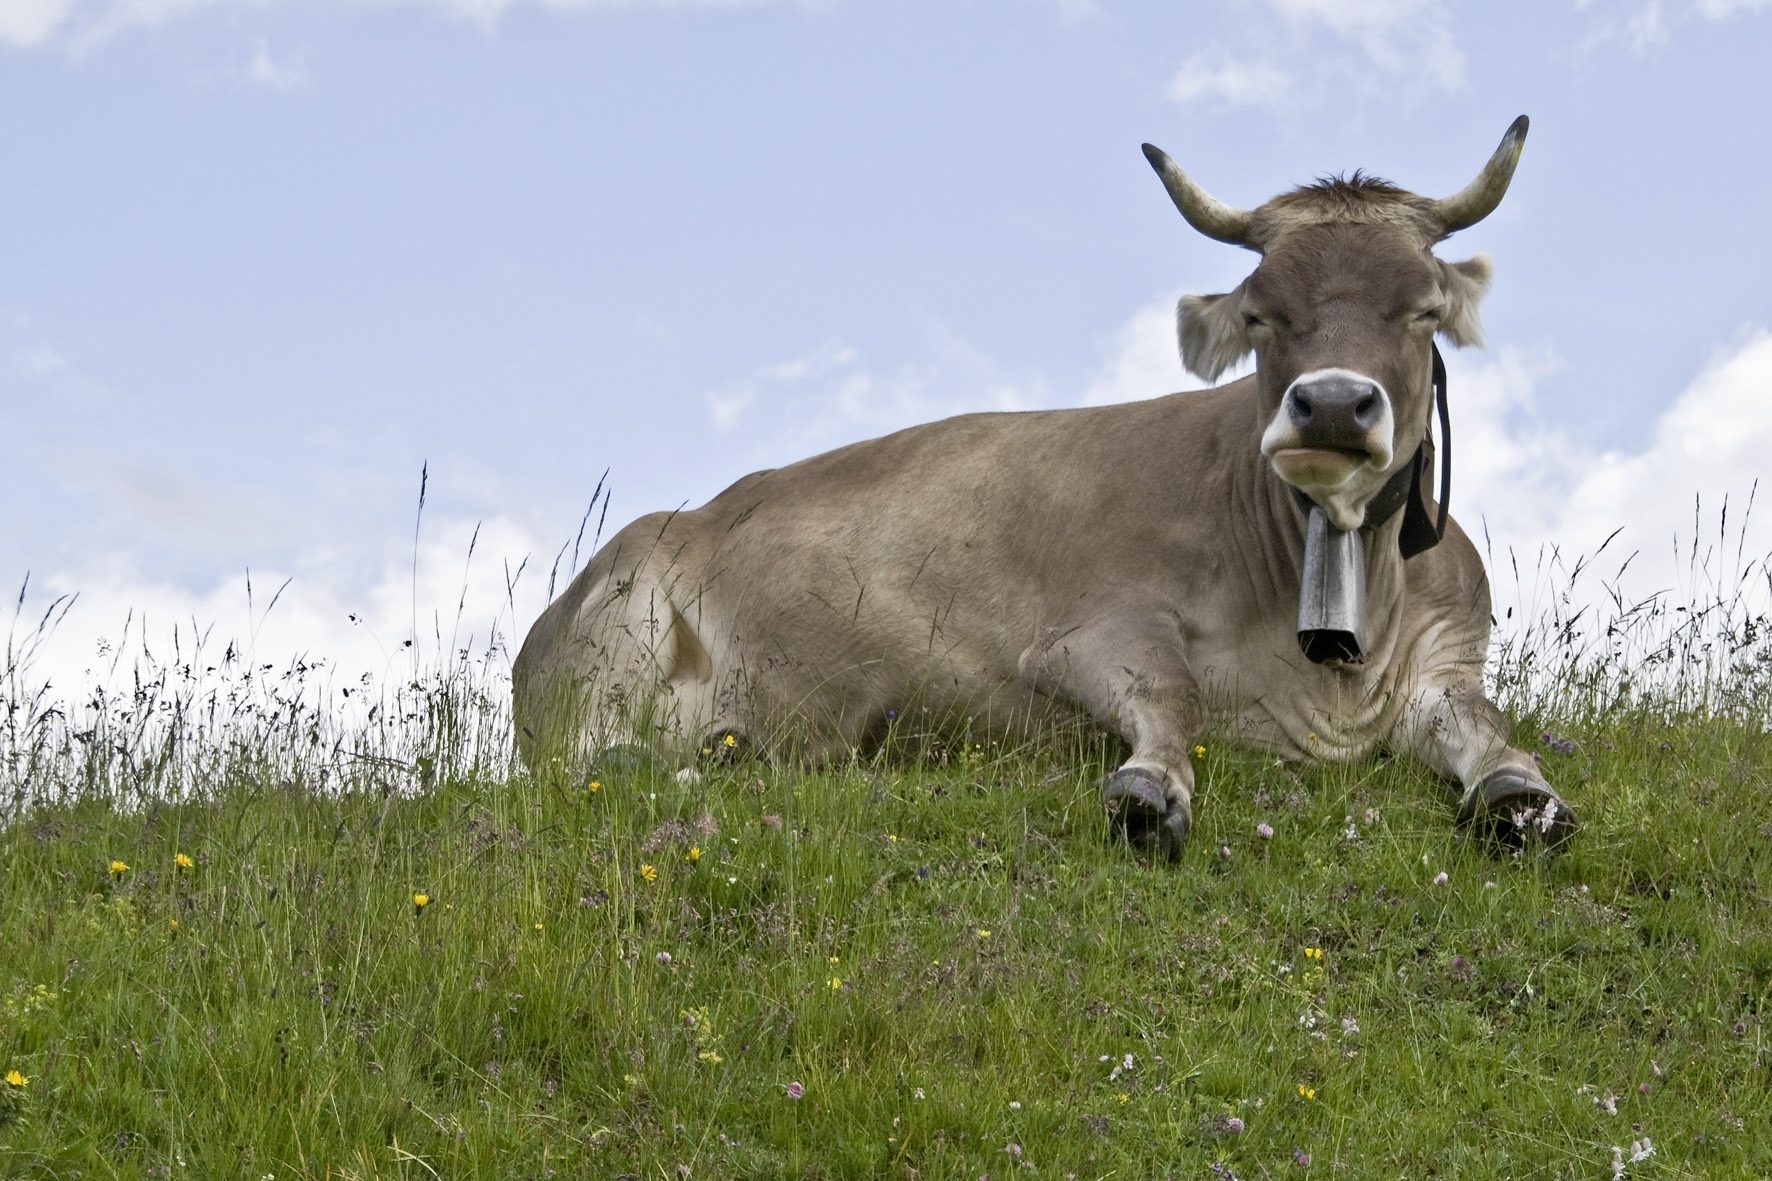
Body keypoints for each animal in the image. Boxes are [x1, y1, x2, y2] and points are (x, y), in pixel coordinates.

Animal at [513, 115, 1580, 854]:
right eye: (1262, 314)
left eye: (1423, 308)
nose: (1328, 406)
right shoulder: (1084, 631)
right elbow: (1174, 694)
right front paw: (1150, 788)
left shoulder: (1450, 656)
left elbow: (1487, 727)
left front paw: (1521, 793)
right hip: (620, 615)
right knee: (584, 763)